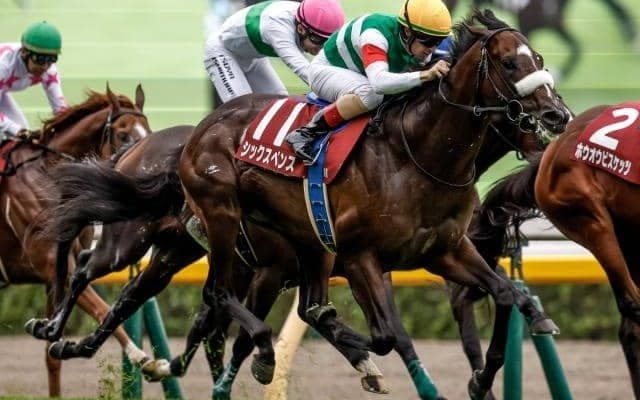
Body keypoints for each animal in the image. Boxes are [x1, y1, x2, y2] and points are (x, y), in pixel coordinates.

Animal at [1, 84, 152, 397]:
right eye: (122, 134)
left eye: (148, 128)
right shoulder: (53, 265)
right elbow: (104, 309)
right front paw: (144, 358)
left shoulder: (54, 275)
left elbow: (52, 356)